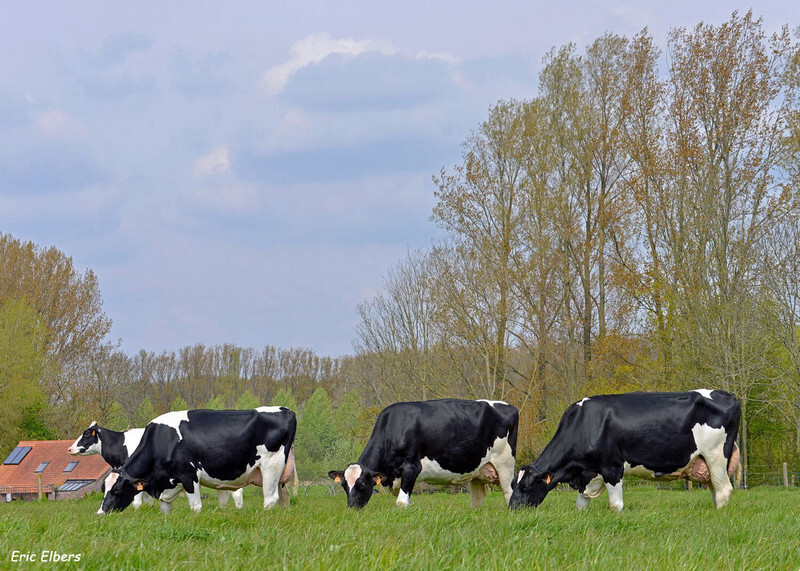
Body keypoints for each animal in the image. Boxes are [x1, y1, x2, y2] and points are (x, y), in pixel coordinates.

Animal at [100, 404, 296, 516]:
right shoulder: (168, 483)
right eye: (104, 488)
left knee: (270, 499)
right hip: (280, 474)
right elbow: (165, 508)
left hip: (271, 466)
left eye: (117, 490)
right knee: (284, 498)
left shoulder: (189, 475)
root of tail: (287, 410)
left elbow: (195, 506)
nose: (101, 513)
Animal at [326, 400, 520, 512]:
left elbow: (401, 502)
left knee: (509, 492)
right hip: (478, 469)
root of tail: (509, 406)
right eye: (344, 485)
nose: (352, 508)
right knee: (477, 498)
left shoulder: (412, 467)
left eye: (362, 484)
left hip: (505, 463)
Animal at [510, 392, 740, 512]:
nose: (512, 508)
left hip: (716, 456)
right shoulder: (588, 473)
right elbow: (581, 504)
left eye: (526, 486)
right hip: (706, 462)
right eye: (513, 484)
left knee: (723, 490)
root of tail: (728, 395)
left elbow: (615, 504)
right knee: (715, 490)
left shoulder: (612, 468)